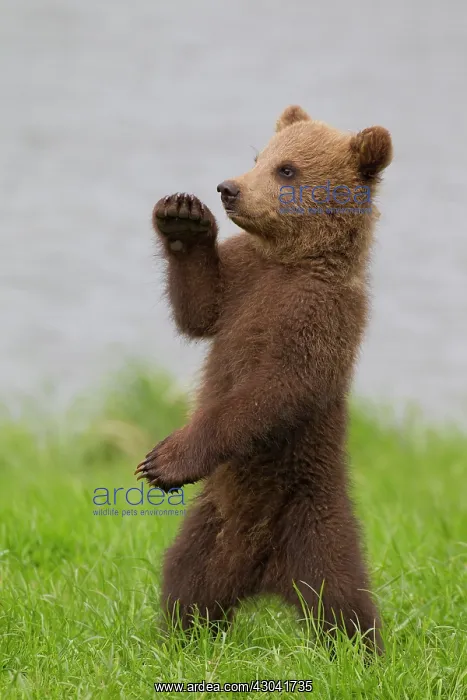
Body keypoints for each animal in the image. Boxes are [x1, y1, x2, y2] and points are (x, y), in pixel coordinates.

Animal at [135, 105, 392, 654]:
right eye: (259, 157)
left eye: (287, 169)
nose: (228, 188)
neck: (290, 261)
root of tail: (261, 574)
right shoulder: (243, 282)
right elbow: (200, 309)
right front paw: (182, 216)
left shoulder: (319, 316)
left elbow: (273, 389)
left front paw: (164, 460)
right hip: (209, 527)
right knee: (186, 581)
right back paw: (179, 638)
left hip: (313, 521)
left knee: (342, 600)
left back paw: (363, 654)